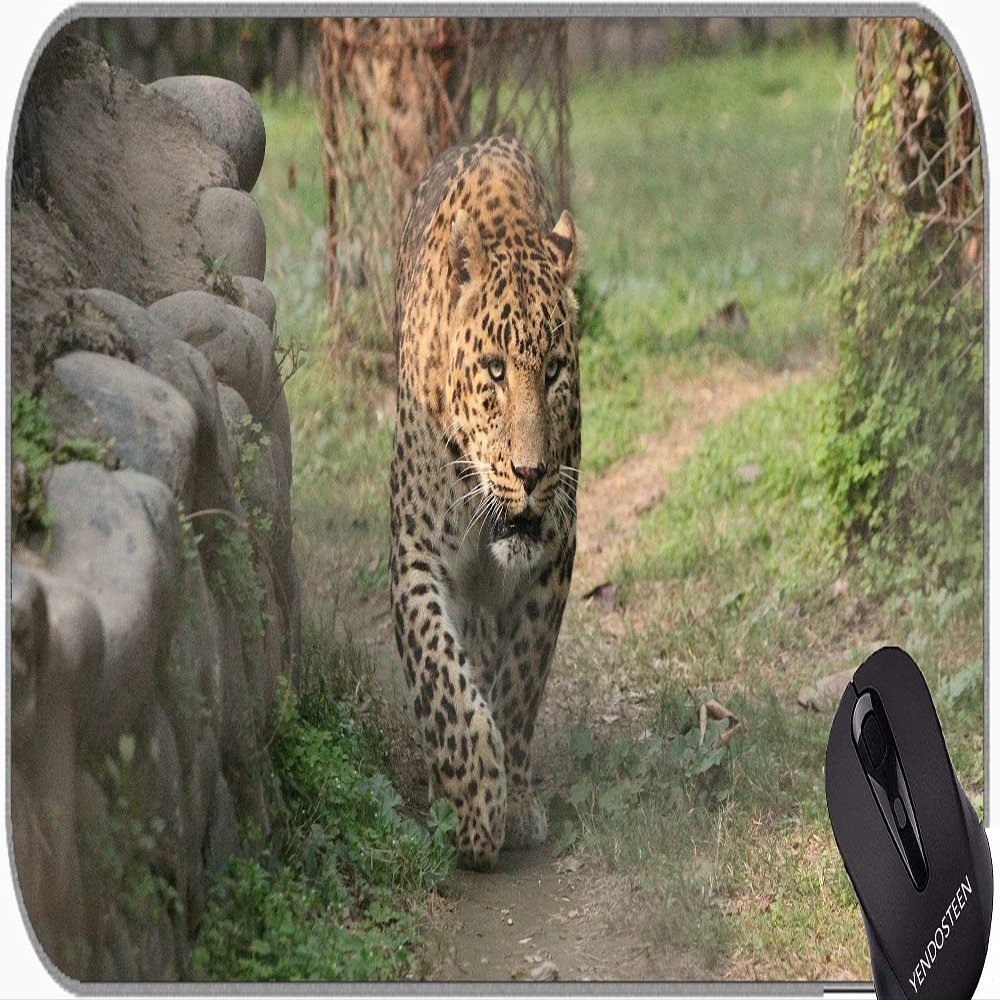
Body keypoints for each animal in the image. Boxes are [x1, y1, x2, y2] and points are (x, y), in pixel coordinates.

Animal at [389, 134, 581, 869]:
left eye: (554, 370)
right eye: (495, 370)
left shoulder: (554, 550)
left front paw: (516, 796)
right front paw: (472, 805)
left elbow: (522, 677)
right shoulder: (415, 551)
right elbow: (441, 676)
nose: (531, 472)